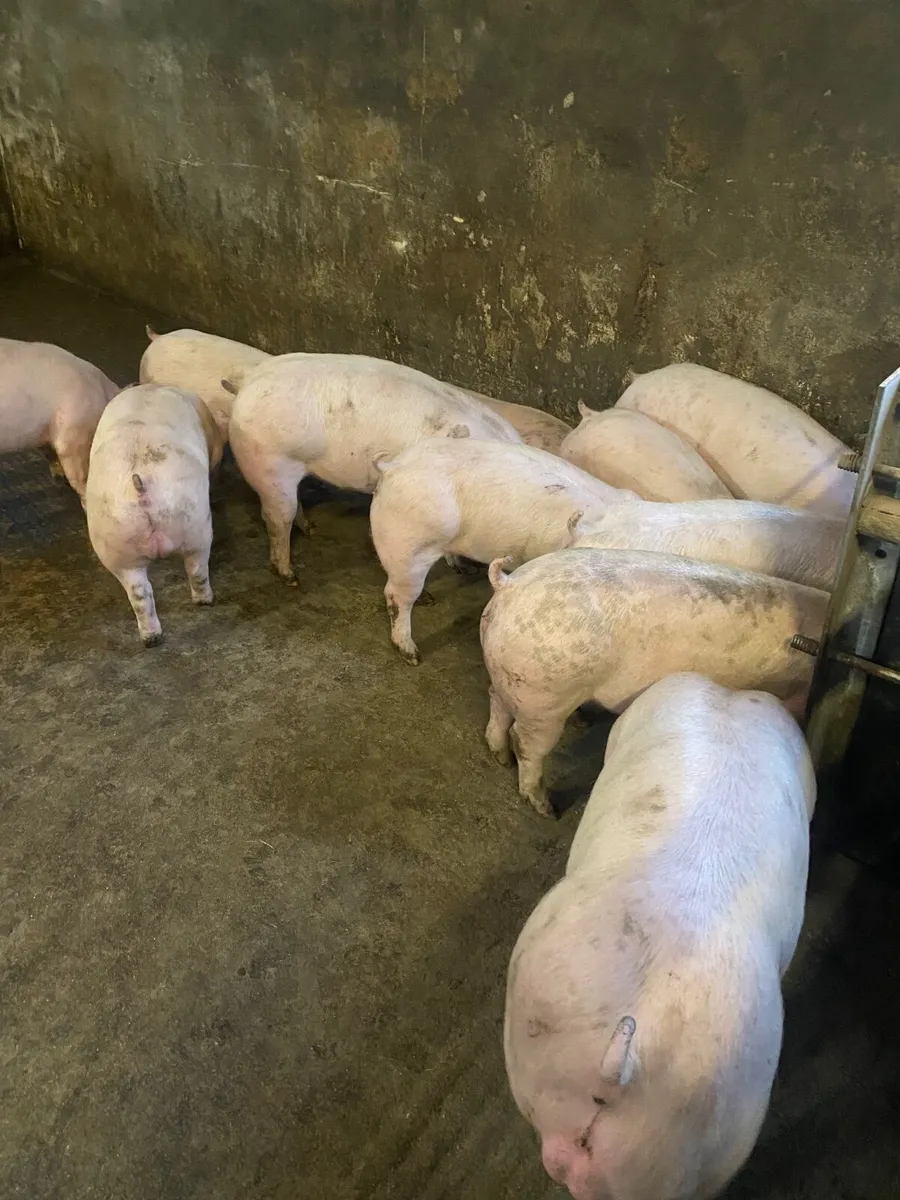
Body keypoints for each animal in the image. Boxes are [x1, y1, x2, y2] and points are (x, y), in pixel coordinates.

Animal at [85, 384, 224, 646]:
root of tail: (140, 486)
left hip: (115, 544)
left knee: (140, 594)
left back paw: (151, 639)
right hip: (195, 527)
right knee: (197, 569)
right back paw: (205, 601)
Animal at [481, 547, 826, 815]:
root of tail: (509, 583)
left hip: (513, 679)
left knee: (496, 700)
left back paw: (500, 757)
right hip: (545, 694)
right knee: (525, 742)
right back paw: (547, 808)